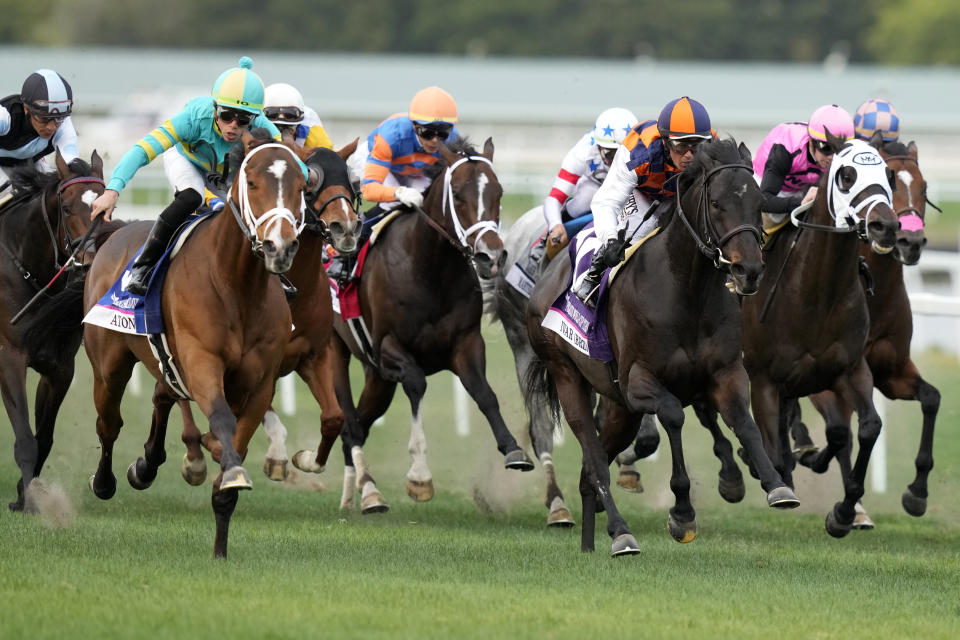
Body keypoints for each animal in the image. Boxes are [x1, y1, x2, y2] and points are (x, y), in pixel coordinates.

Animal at [524, 139, 796, 556]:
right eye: (716, 203)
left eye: (759, 202)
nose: (748, 270)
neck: (686, 290)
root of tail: (546, 280)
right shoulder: (640, 381)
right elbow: (673, 415)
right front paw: (682, 513)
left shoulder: (726, 372)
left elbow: (743, 421)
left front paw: (775, 484)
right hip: (568, 376)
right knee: (595, 462)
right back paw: (621, 533)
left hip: (620, 408)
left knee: (590, 472)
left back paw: (590, 543)